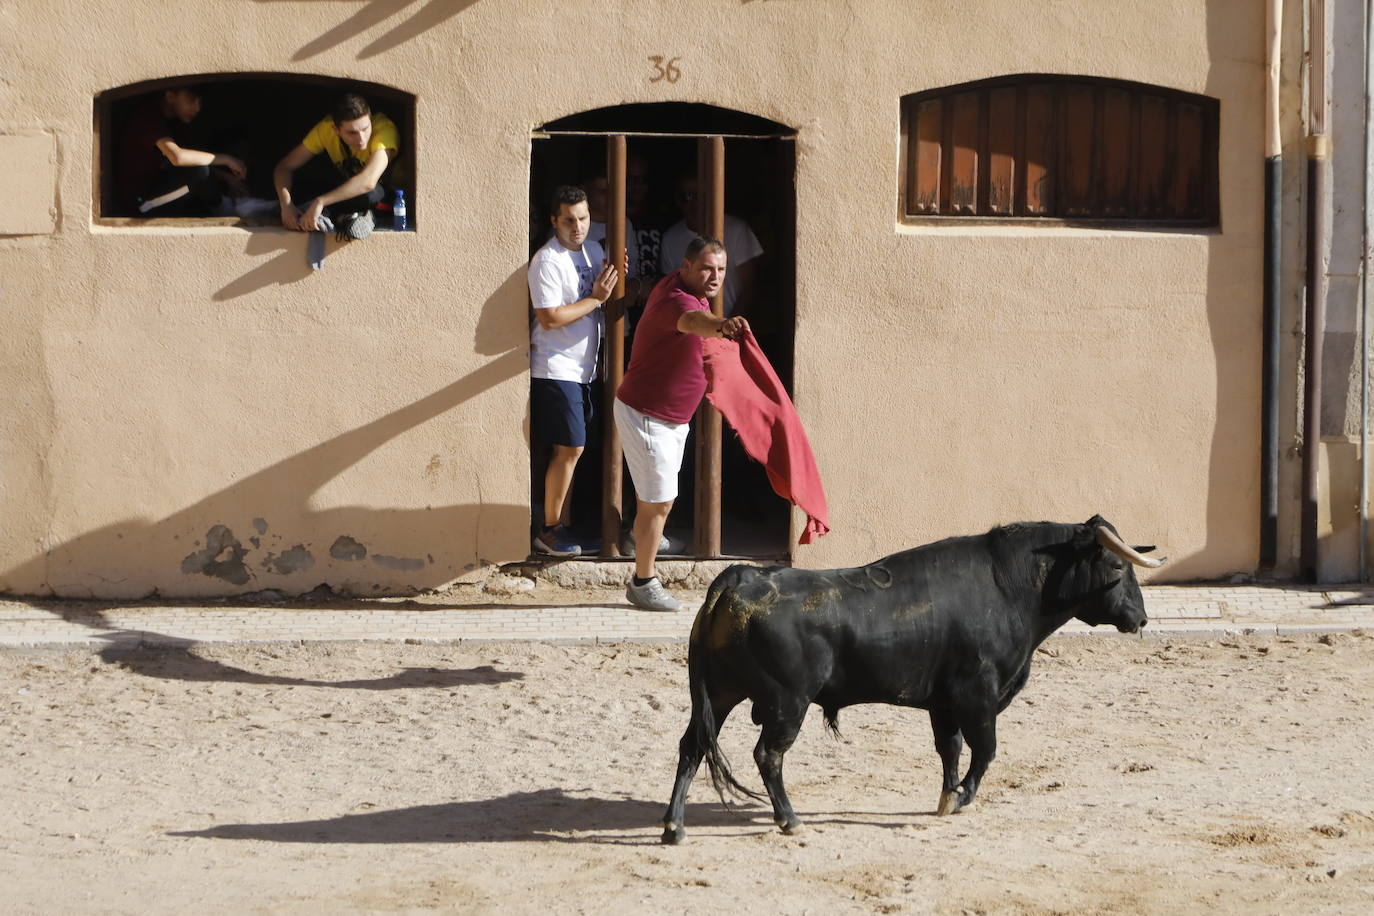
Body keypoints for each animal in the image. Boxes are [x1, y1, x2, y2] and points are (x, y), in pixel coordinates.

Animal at [659, 516, 1165, 845]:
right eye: (1117, 567)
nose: (1140, 618)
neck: (1008, 588)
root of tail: (738, 579)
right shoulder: (978, 696)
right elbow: (985, 749)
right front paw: (961, 798)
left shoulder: (944, 704)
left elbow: (951, 748)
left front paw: (945, 797)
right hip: (787, 703)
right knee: (768, 755)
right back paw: (789, 819)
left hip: (719, 695)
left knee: (691, 747)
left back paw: (674, 827)